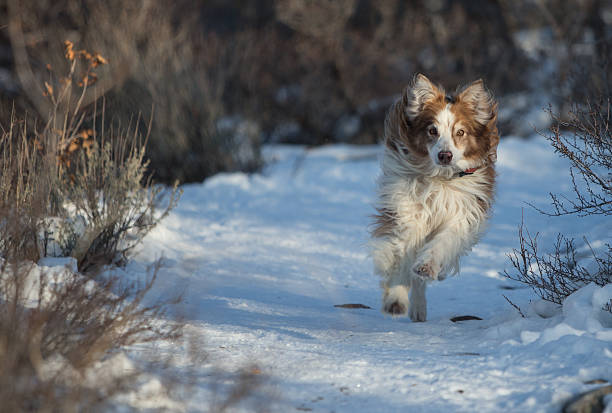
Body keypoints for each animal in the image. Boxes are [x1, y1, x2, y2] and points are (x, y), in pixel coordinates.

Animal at [370, 74, 500, 320]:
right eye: (432, 131)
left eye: (460, 132)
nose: (445, 155)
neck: (440, 179)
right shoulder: (406, 211)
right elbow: (402, 254)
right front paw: (396, 298)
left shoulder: (461, 214)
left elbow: (442, 242)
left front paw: (426, 266)